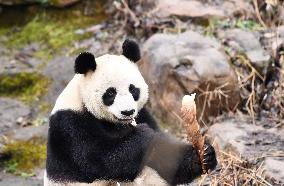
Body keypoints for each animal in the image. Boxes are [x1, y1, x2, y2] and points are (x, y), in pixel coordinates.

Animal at [44, 38, 217, 185]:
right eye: (110, 93)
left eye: (133, 89)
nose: (127, 112)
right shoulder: (70, 125)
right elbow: (97, 160)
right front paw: (142, 133)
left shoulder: (143, 114)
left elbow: (163, 156)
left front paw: (204, 156)